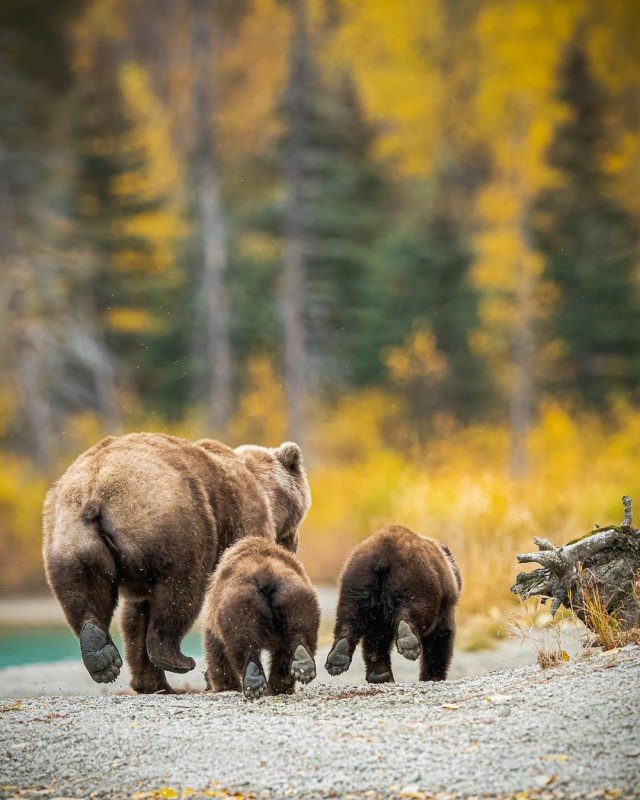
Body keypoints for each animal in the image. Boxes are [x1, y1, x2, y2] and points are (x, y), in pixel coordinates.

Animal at [204, 536, 318, 700]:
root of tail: (265, 574)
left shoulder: (213, 625)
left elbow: (217, 653)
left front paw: (225, 685)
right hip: (295, 596)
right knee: (299, 630)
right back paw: (301, 664)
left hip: (239, 602)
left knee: (242, 638)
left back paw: (254, 681)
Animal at [324, 524, 460, 680]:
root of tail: (383, 555)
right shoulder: (445, 605)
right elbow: (441, 636)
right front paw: (432, 676)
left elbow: (375, 637)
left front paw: (379, 674)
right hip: (416, 579)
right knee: (416, 610)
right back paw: (408, 640)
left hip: (358, 580)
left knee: (349, 615)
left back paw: (339, 656)